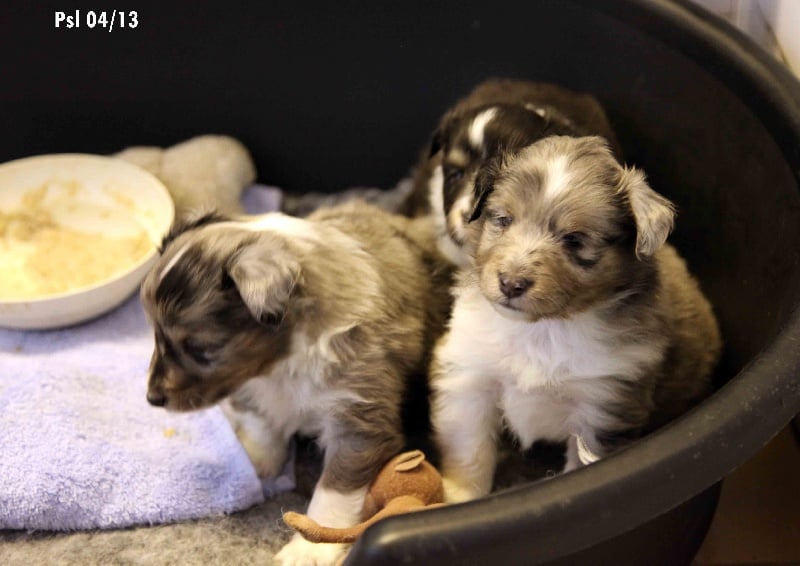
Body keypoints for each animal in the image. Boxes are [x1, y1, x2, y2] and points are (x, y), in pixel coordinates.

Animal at [141, 202, 454, 564]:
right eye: (154, 333)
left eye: (200, 348)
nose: (152, 398)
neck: (280, 365)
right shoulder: (253, 385)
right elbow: (262, 425)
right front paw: (256, 462)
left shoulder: (358, 420)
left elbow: (333, 491)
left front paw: (309, 549)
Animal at [432, 135, 724, 504]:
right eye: (504, 219)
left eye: (574, 240)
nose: (510, 283)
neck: (543, 328)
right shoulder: (470, 376)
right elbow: (469, 449)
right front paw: (459, 497)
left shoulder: (603, 406)